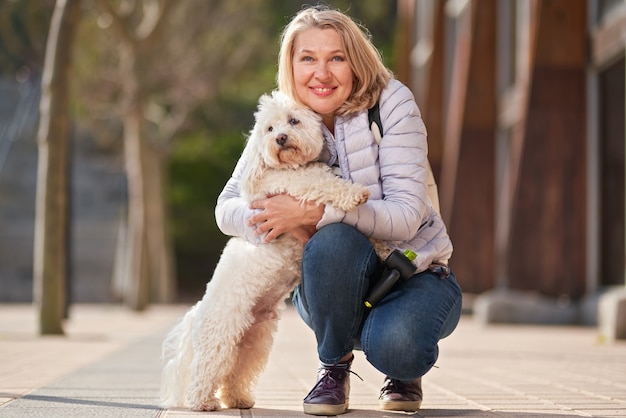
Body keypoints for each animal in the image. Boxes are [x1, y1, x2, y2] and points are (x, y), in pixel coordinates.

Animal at [158, 91, 370, 412]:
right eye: (269, 129)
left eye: (293, 121)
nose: (280, 138)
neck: (289, 166)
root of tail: (197, 312)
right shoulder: (299, 185)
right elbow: (326, 184)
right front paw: (355, 194)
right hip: (220, 339)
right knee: (205, 370)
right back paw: (203, 403)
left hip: (253, 341)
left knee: (236, 373)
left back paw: (238, 399)